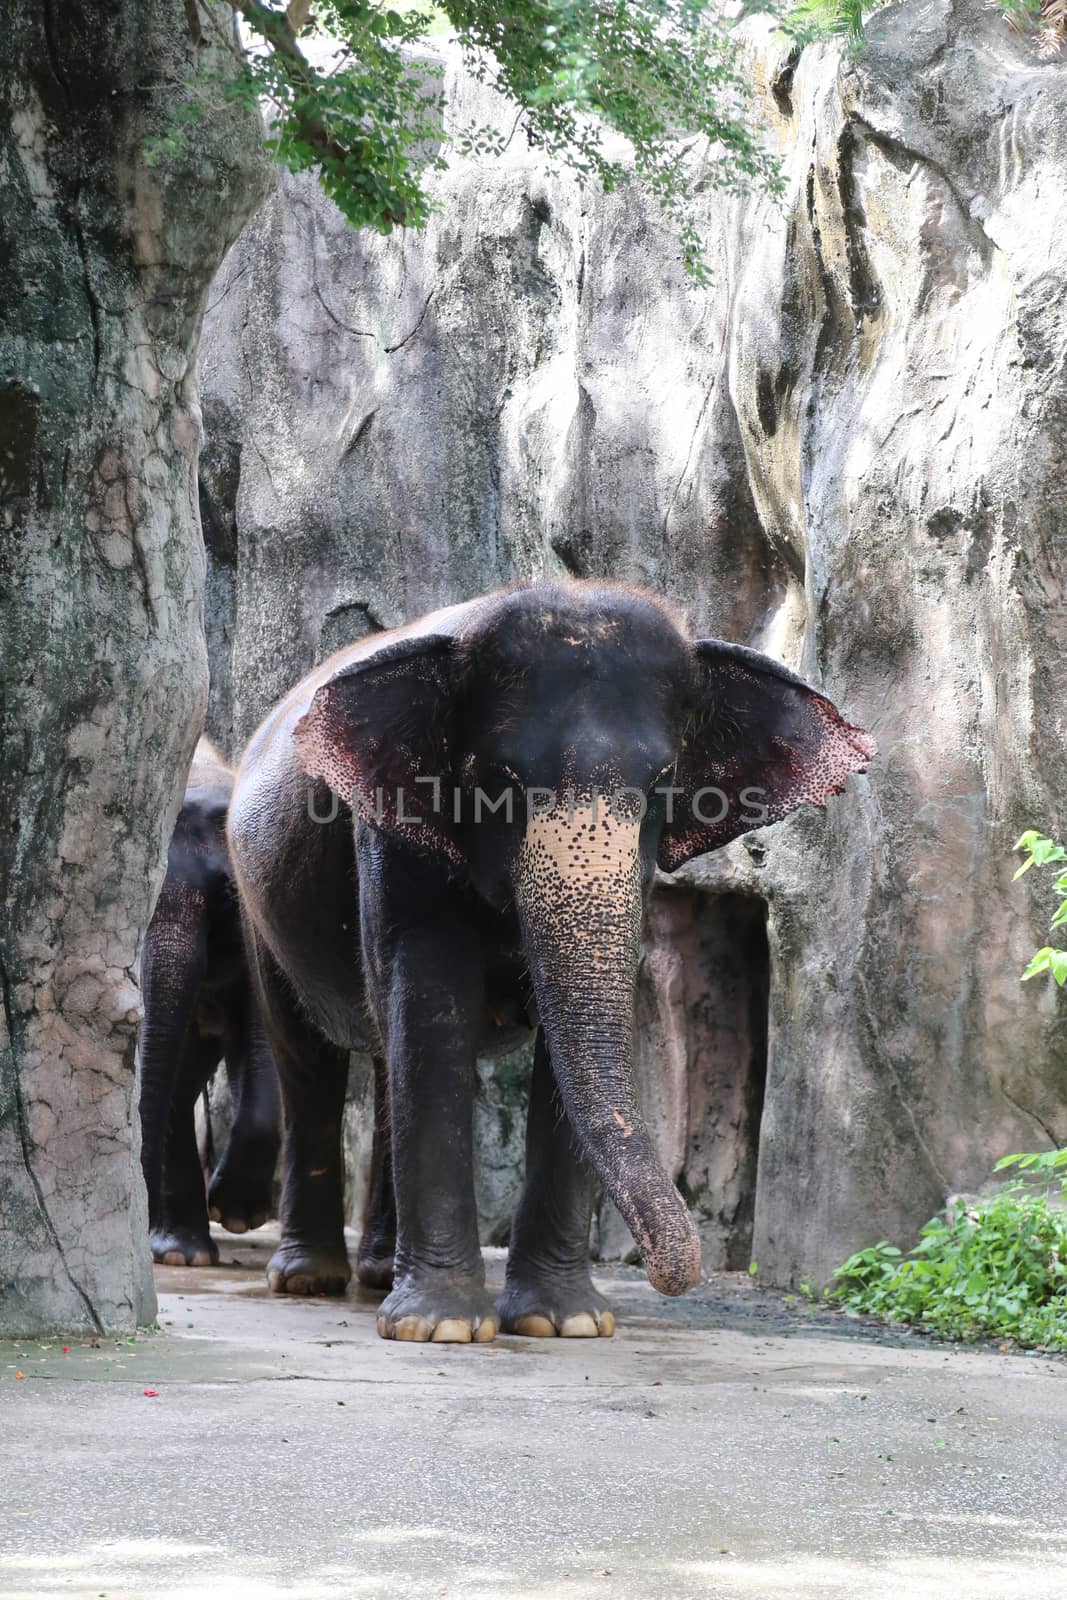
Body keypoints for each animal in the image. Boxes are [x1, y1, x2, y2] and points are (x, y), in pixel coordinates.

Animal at [230, 582, 870, 1344]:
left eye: (662, 780)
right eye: (501, 778)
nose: (674, 1274)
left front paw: (565, 1323)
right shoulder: (391, 840)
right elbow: (432, 1014)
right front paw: (443, 1328)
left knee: (384, 1062)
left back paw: (381, 1273)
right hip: (259, 906)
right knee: (308, 1060)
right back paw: (310, 1279)